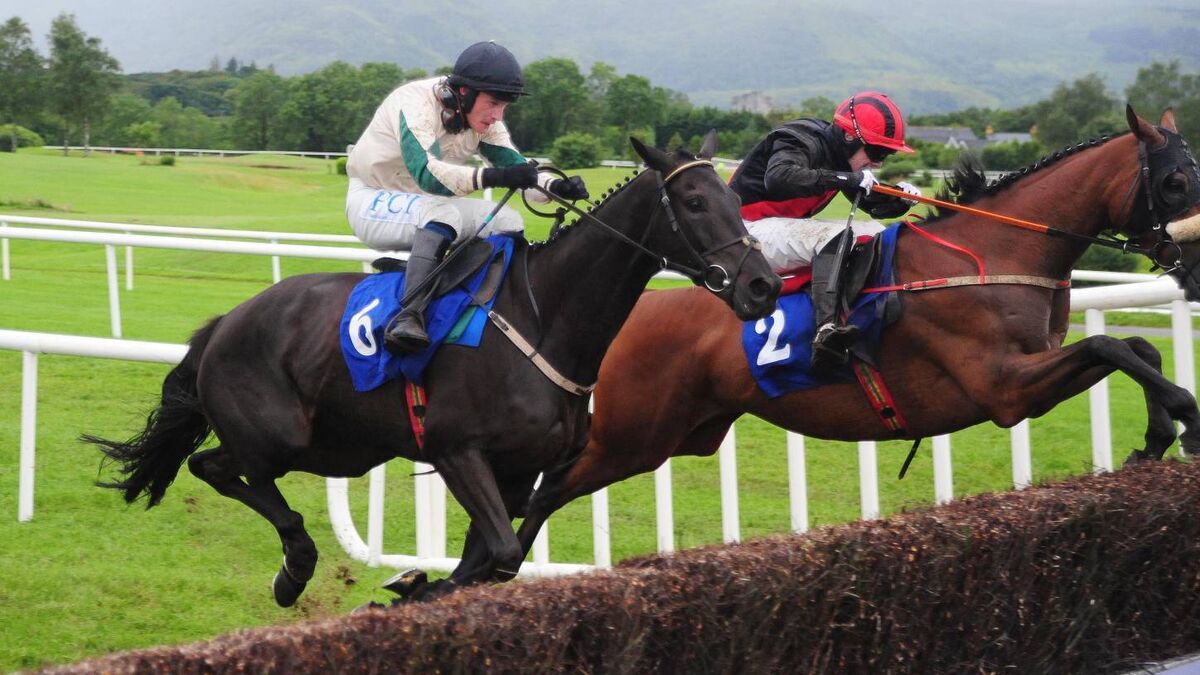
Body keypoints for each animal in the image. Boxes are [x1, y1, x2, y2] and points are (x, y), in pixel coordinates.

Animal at [85, 134, 782, 606]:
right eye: (693, 201)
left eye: (735, 197)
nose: (762, 285)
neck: (543, 317)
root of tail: (221, 325)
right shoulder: (457, 451)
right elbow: (500, 550)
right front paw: (410, 584)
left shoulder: (519, 470)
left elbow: (498, 558)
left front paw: (417, 583)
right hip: (286, 436)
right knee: (218, 467)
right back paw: (295, 567)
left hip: (342, 445)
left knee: (220, 468)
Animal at [510, 106, 1200, 558]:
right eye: (1175, 181)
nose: (1193, 264)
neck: (995, 252)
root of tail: (635, 314)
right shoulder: (1004, 388)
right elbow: (1110, 344)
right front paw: (1183, 422)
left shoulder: (1033, 366)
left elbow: (1134, 346)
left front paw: (1157, 435)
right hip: (632, 436)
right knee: (545, 494)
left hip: (677, 434)